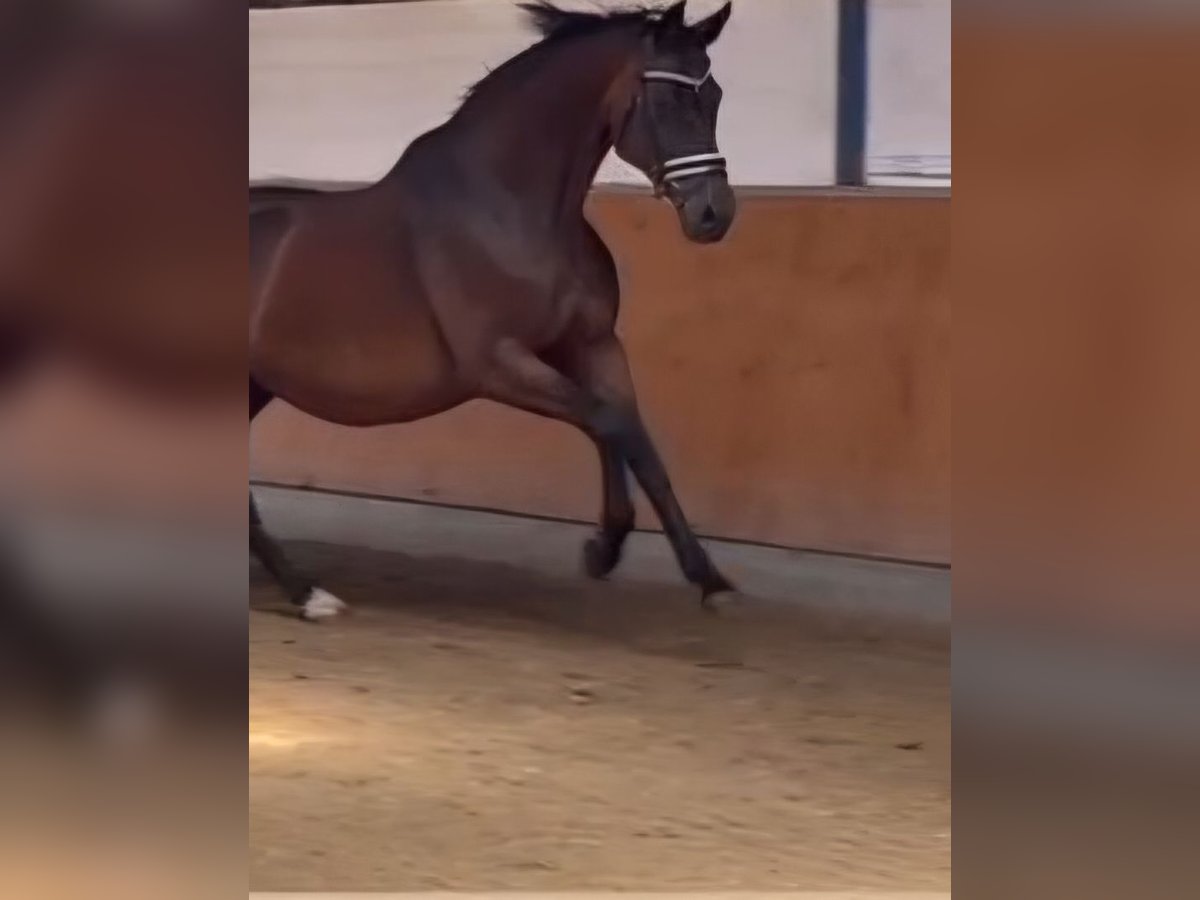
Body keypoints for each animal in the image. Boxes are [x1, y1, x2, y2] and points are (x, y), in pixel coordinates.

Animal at [250, 1, 738, 620]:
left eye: (714, 94)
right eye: (667, 99)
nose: (713, 214)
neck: (511, 209)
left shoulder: (593, 344)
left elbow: (638, 439)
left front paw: (704, 577)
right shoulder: (499, 364)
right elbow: (608, 422)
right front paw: (604, 547)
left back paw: (304, 592)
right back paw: (308, 594)